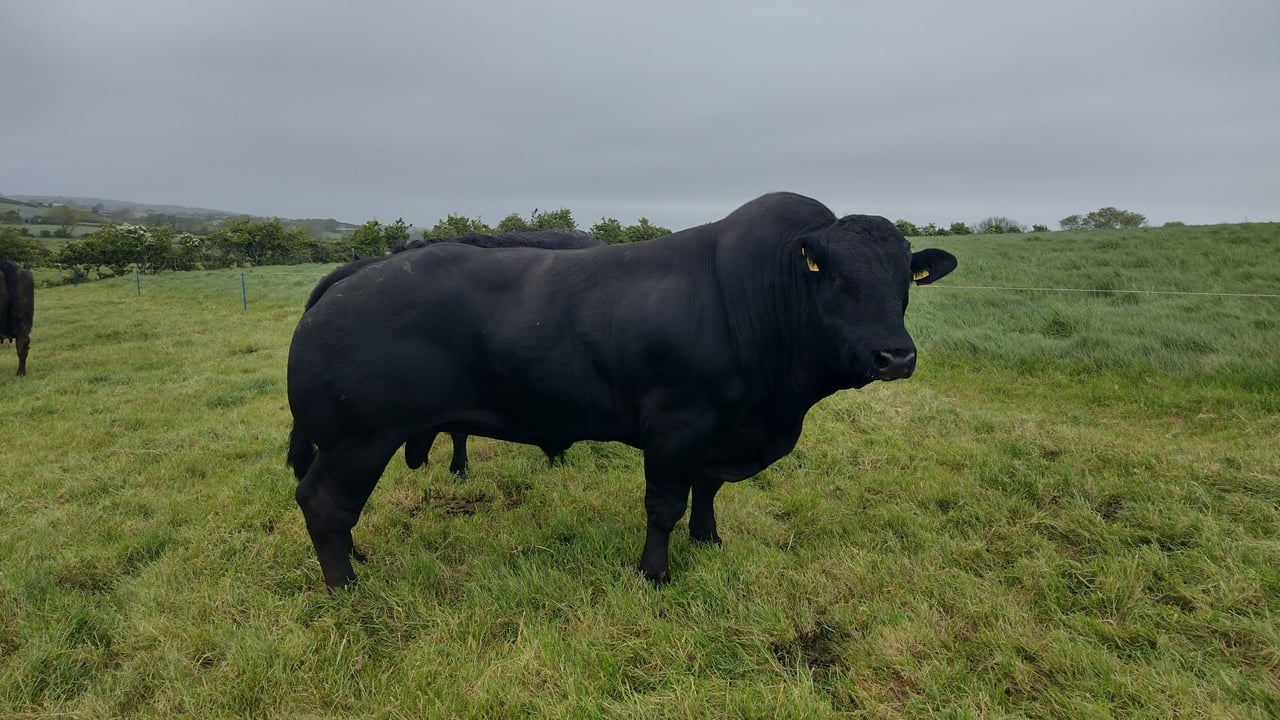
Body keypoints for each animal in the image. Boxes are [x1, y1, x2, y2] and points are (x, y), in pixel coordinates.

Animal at [287, 192, 956, 590]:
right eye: (836, 276)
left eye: (905, 279)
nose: (895, 355)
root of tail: (359, 271)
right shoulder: (676, 426)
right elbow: (665, 505)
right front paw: (654, 573)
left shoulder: (722, 430)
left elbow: (707, 490)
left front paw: (709, 539)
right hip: (359, 440)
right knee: (323, 504)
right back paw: (346, 585)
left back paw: (356, 559)